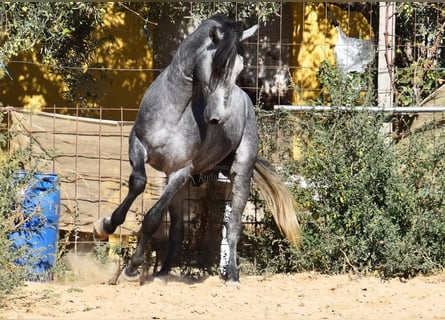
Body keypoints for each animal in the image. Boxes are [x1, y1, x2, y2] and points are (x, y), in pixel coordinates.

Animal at [95, 14, 300, 282]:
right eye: (217, 65)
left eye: (239, 68)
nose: (218, 118)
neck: (173, 113)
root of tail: (246, 100)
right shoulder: (138, 146)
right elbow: (138, 183)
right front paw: (105, 225)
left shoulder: (181, 171)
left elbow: (152, 217)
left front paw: (131, 268)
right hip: (180, 185)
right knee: (178, 230)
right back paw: (162, 274)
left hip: (238, 174)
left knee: (233, 226)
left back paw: (232, 275)